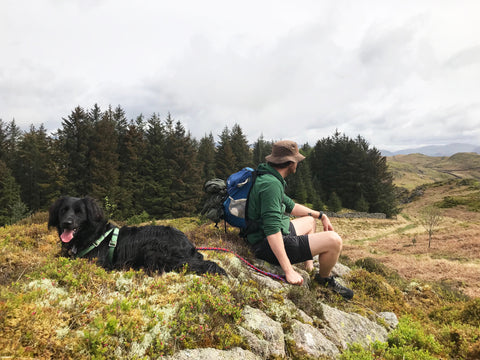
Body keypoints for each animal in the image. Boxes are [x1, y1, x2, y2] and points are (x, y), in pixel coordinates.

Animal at [48, 197, 227, 276]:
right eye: (63, 210)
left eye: (79, 212)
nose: (66, 223)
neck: (92, 235)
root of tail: (189, 244)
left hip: (154, 250)